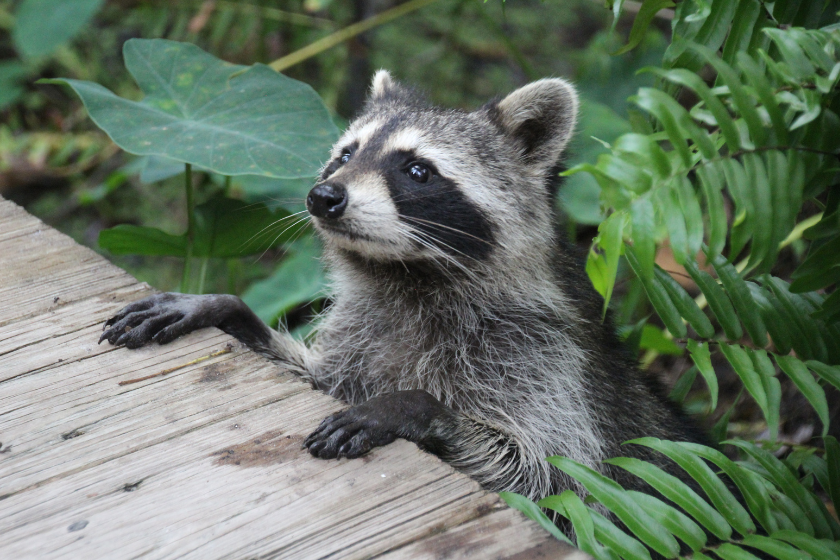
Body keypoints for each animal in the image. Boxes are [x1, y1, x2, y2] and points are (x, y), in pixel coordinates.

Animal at [103, 73, 708, 512]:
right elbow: (315, 378)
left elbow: (555, 481)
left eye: (417, 171)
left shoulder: (542, 359)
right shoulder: (363, 334)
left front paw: (414, 406)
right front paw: (226, 309)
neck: (407, 275)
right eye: (346, 154)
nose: (323, 197)